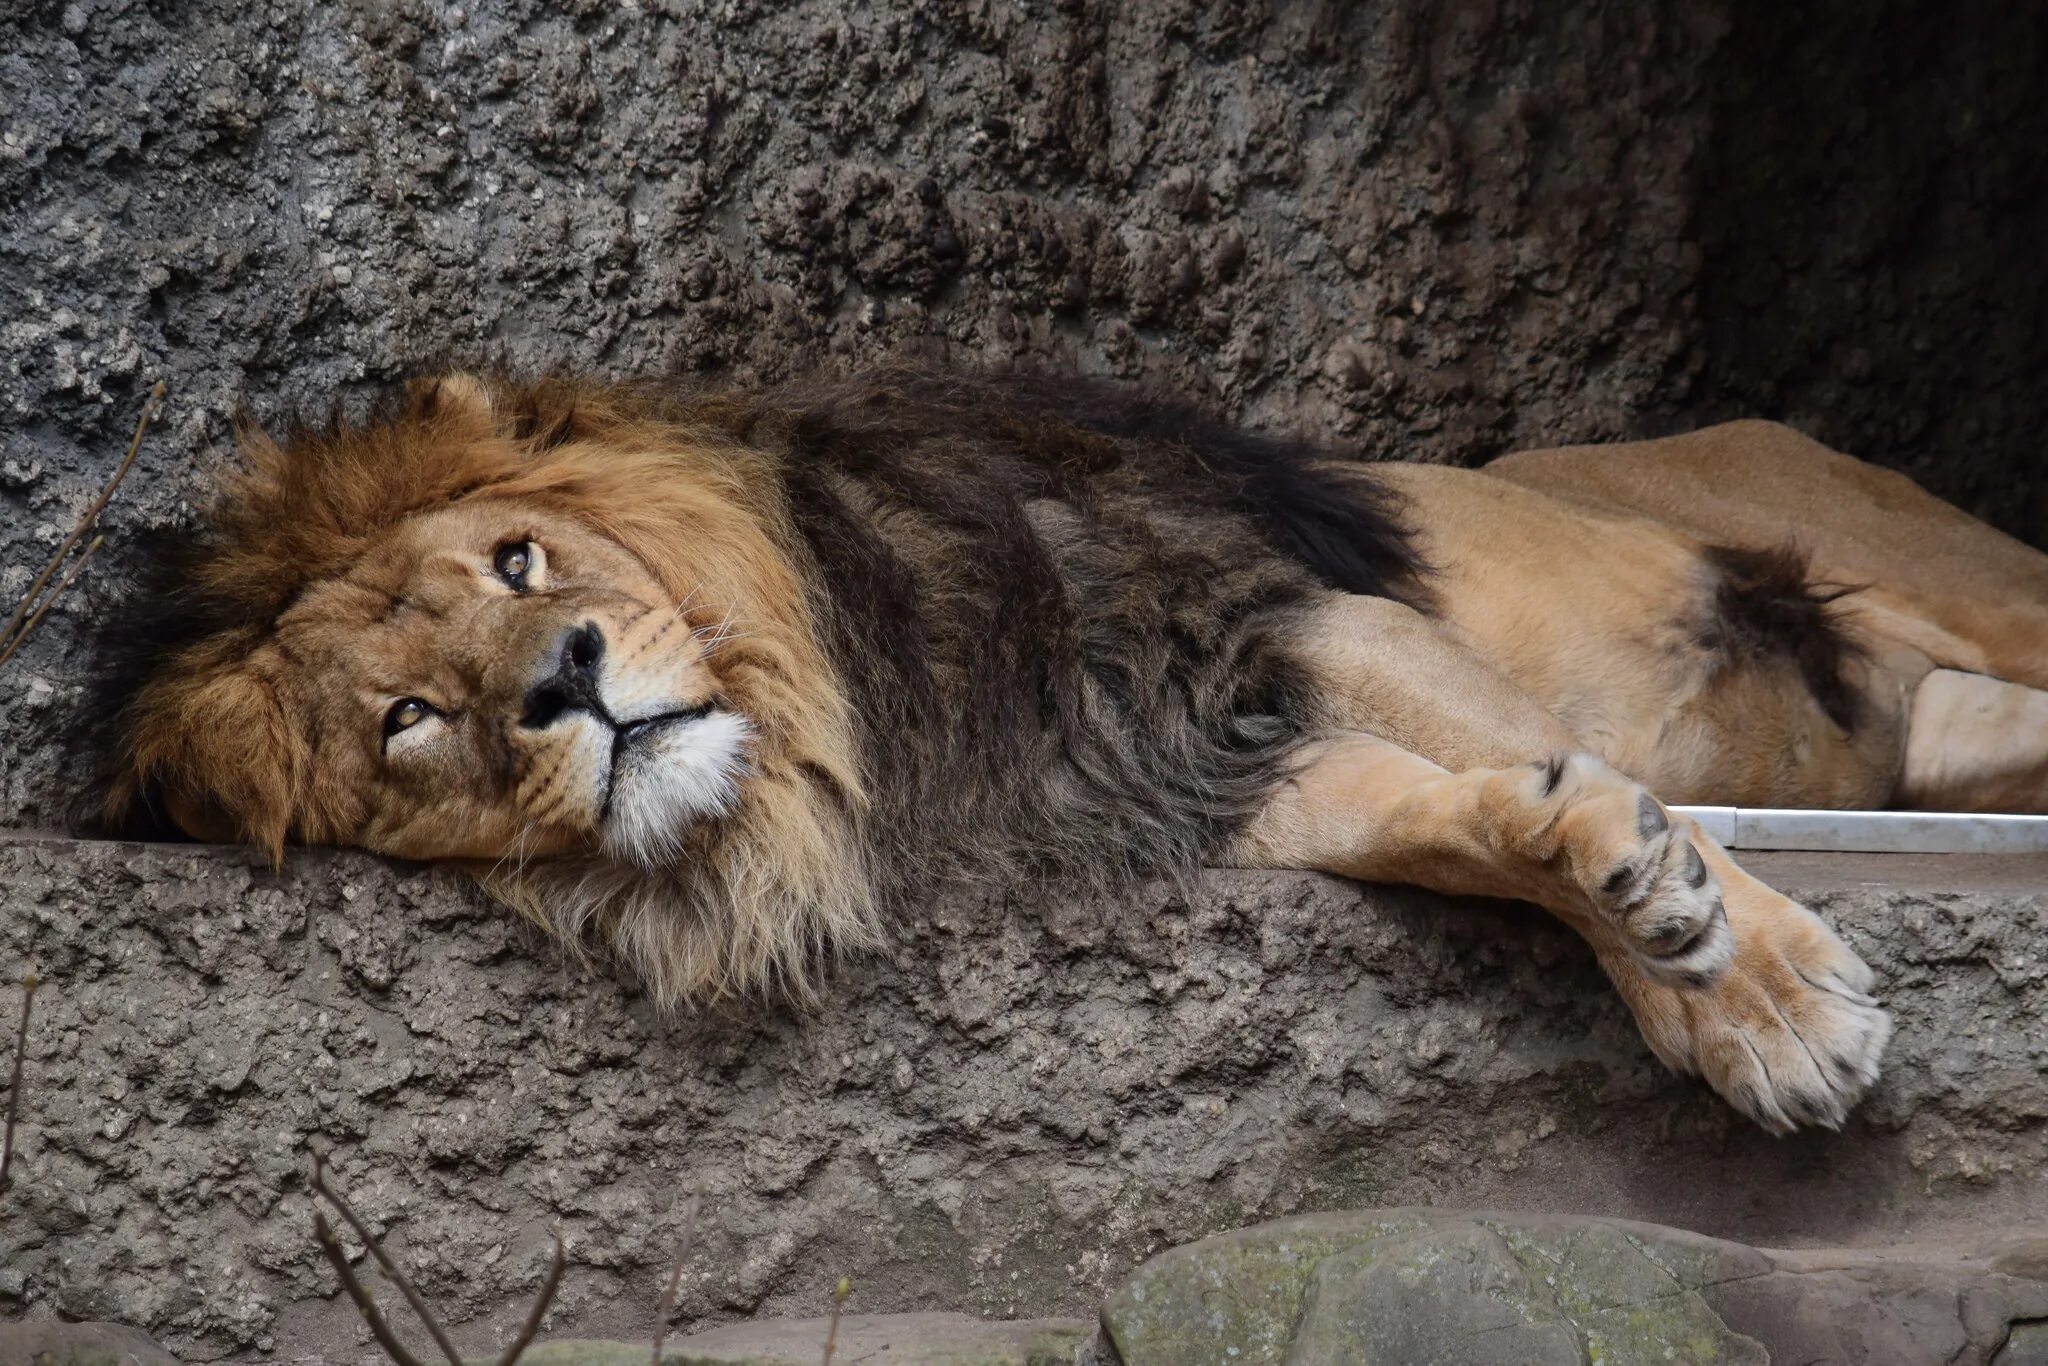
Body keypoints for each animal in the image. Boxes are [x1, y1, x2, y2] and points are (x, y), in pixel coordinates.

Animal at [99, 362, 2048, 1130]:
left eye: (520, 564)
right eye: (407, 719)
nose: (565, 680)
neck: (850, 740)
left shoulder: (1291, 620)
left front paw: (1765, 998)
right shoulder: (1189, 778)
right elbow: (1451, 818)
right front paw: (1611, 876)